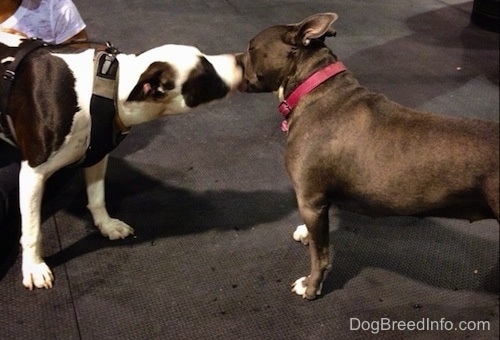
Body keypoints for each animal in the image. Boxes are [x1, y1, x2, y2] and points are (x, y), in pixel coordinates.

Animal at [0, 32, 242, 290]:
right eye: (205, 75)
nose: (240, 60)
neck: (105, 92)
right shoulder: (33, 174)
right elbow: (32, 231)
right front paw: (34, 266)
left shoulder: (96, 155)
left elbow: (97, 198)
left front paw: (106, 225)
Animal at [237, 12, 496, 300]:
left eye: (251, 48)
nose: (234, 60)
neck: (312, 88)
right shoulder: (318, 201)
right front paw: (305, 233)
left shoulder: (310, 201)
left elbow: (320, 255)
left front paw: (311, 286)